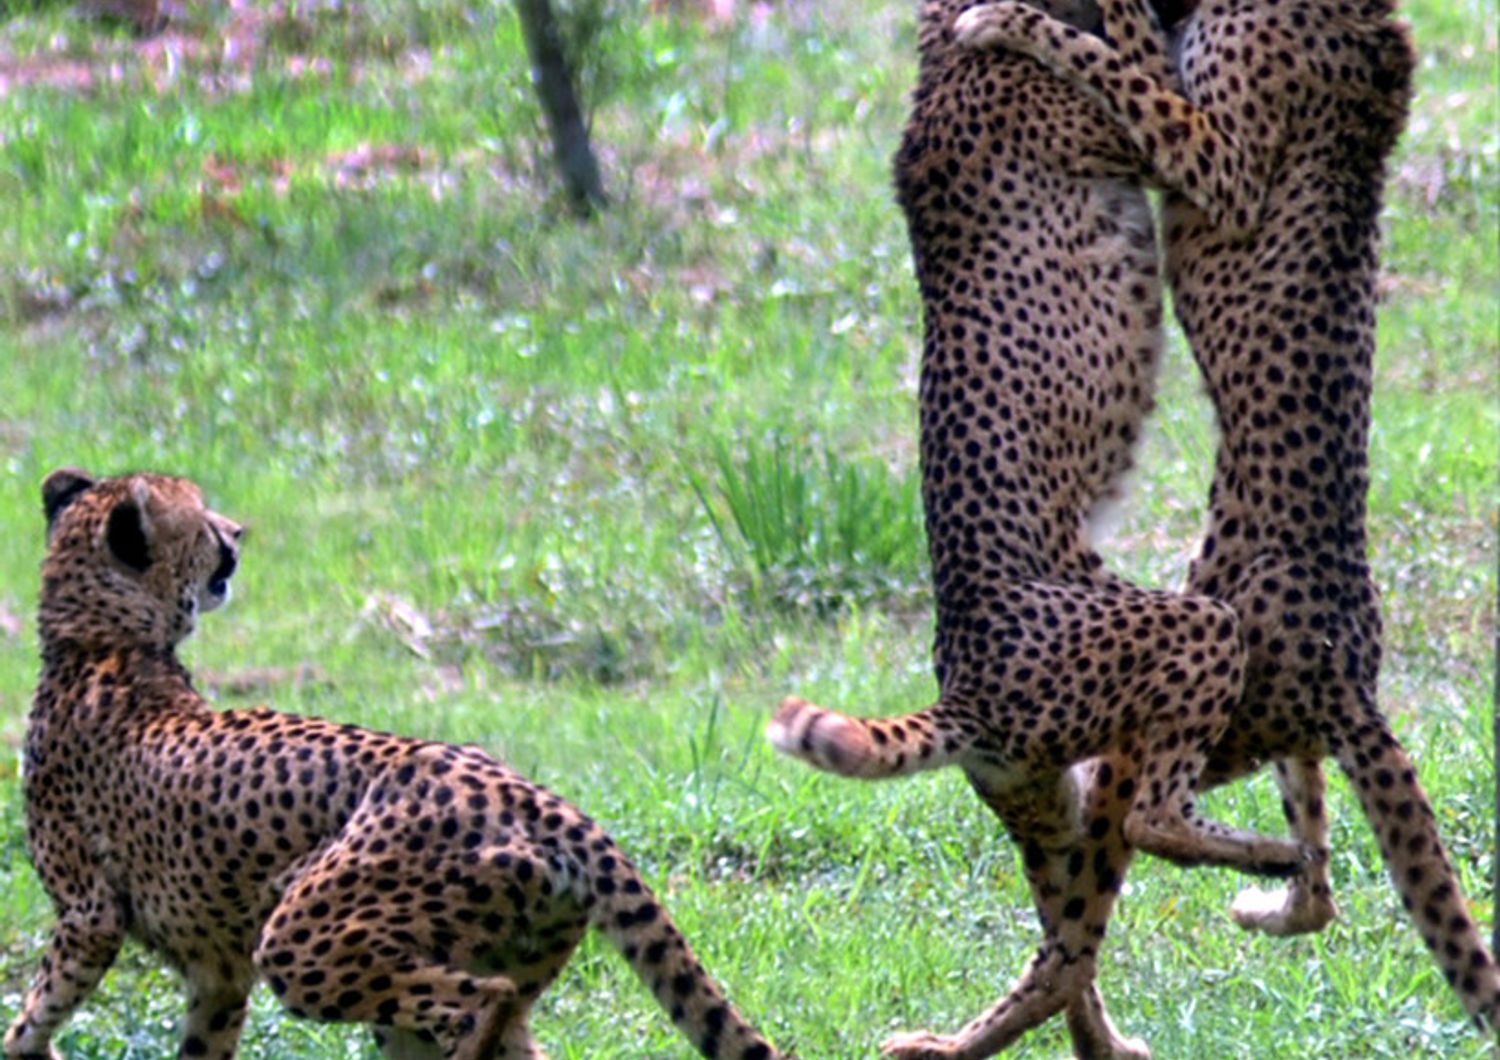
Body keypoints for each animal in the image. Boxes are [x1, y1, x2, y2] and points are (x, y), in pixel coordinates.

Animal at [8, 470, 786, 1060]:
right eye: (200, 522)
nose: (235, 532)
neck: (98, 639)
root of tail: (536, 796)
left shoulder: (89, 916)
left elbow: (36, 1004)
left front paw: (27, 1046)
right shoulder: (216, 969)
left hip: (303, 936)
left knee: (479, 1005)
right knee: (499, 1019)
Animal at [768, 2, 1308, 1060]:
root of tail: (965, 688)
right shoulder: (1172, 148)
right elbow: (1131, 69)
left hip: (1047, 797)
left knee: (1064, 943)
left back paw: (1057, 1041)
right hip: (1189, 632)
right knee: (1152, 826)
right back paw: (1273, 856)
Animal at [954, 0, 1500, 1043]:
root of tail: (1351, 669)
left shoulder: (1221, 164)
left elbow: (1122, 66)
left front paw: (1016, 21)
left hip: (1174, 701)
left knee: (1109, 874)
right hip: (1267, 731)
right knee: (1318, 885)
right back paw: (1271, 893)